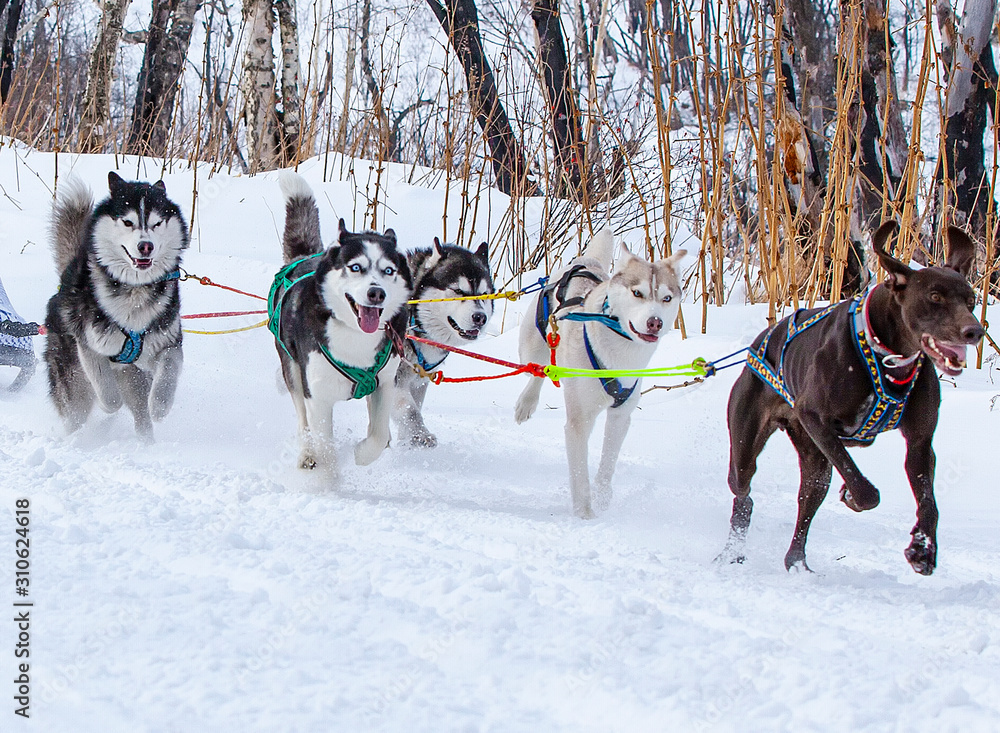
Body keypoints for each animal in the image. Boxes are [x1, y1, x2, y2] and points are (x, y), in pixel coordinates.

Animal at [43, 172, 188, 434]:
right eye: (128, 222)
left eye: (157, 223)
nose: (145, 246)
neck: (135, 291)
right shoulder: (89, 346)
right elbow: (109, 395)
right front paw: (108, 406)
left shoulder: (167, 343)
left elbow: (169, 370)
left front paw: (160, 406)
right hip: (73, 383)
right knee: (77, 411)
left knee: (142, 416)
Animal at [270, 171, 410, 468]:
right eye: (355, 267)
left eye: (388, 270)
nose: (376, 293)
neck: (355, 337)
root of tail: (303, 257)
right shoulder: (317, 394)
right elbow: (322, 441)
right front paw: (326, 470)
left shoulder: (385, 383)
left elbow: (378, 434)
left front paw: (363, 453)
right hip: (292, 369)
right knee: (303, 420)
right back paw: (307, 453)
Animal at [394, 240, 496, 446]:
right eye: (458, 291)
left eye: (484, 294)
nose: (480, 318)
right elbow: (410, 411)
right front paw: (421, 433)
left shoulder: (418, 382)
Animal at [516, 229, 688, 516]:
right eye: (637, 292)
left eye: (666, 298)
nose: (655, 322)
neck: (621, 353)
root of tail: (587, 262)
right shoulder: (579, 422)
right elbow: (579, 475)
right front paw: (585, 514)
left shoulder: (621, 415)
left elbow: (608, 463)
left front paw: (603, 496)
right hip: (531, 346)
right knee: (537, 370)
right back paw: (526, 402)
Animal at [720, 220, 984, 576]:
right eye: (935, 296)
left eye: (971, 299)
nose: (975, 332)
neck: (887, 355)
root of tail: (757, 344)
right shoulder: (815, 418)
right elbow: (865, 491)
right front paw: (854, 497)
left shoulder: (919, 443)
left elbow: (929, 504)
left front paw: (923, 549)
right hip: (749, 445)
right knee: (744, 494)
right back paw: (733, 553)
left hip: (814, 459)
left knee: (808, 499)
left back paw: (797, 562)